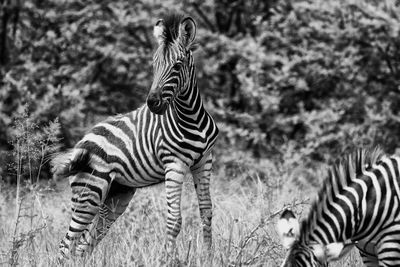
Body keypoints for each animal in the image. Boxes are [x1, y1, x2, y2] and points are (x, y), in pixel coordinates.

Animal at [51, 13, 219, 260]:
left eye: (177, 66)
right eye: (154, 65)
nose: (152, 103)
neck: (191, 118)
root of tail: (82, 142)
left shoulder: (204, 161)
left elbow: (206, 212)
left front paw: (208, 257)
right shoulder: (175, 164)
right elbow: (174, 220)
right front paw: (169, 260)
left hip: (115, 196)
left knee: (82, 245)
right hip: (89, 192)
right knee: (66, 244)